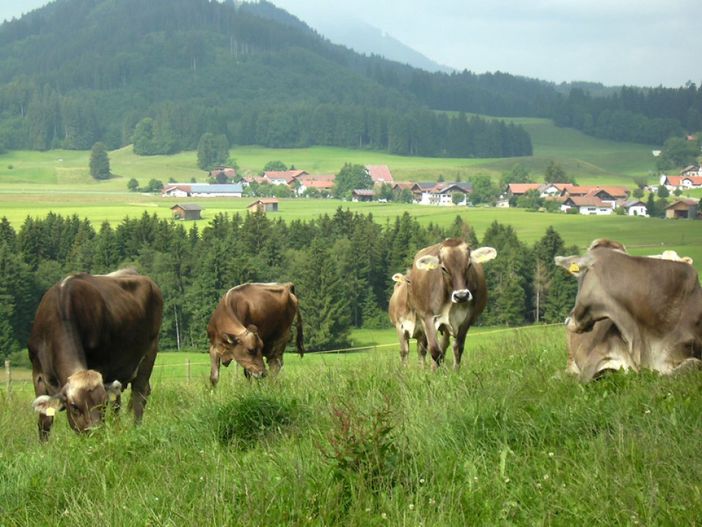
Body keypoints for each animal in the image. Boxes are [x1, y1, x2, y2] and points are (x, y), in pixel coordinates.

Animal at [27, 270, 164, 440]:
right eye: (74, 406)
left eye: (102, 403)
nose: (95, 434)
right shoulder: (37, 374)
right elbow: (45, 421)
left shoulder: (102, 366)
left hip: (149, 351)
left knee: (138, 396)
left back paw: (136, 429)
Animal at [410, 239, 498, 372]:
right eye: (443, 268)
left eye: (469, 265)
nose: (461, 296)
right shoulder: (428, 316)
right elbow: (434, 349)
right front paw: (440, 371)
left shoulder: (467, 318)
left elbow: (457, 347)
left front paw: (455, 371)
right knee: (428, 347)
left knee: (444, 344)